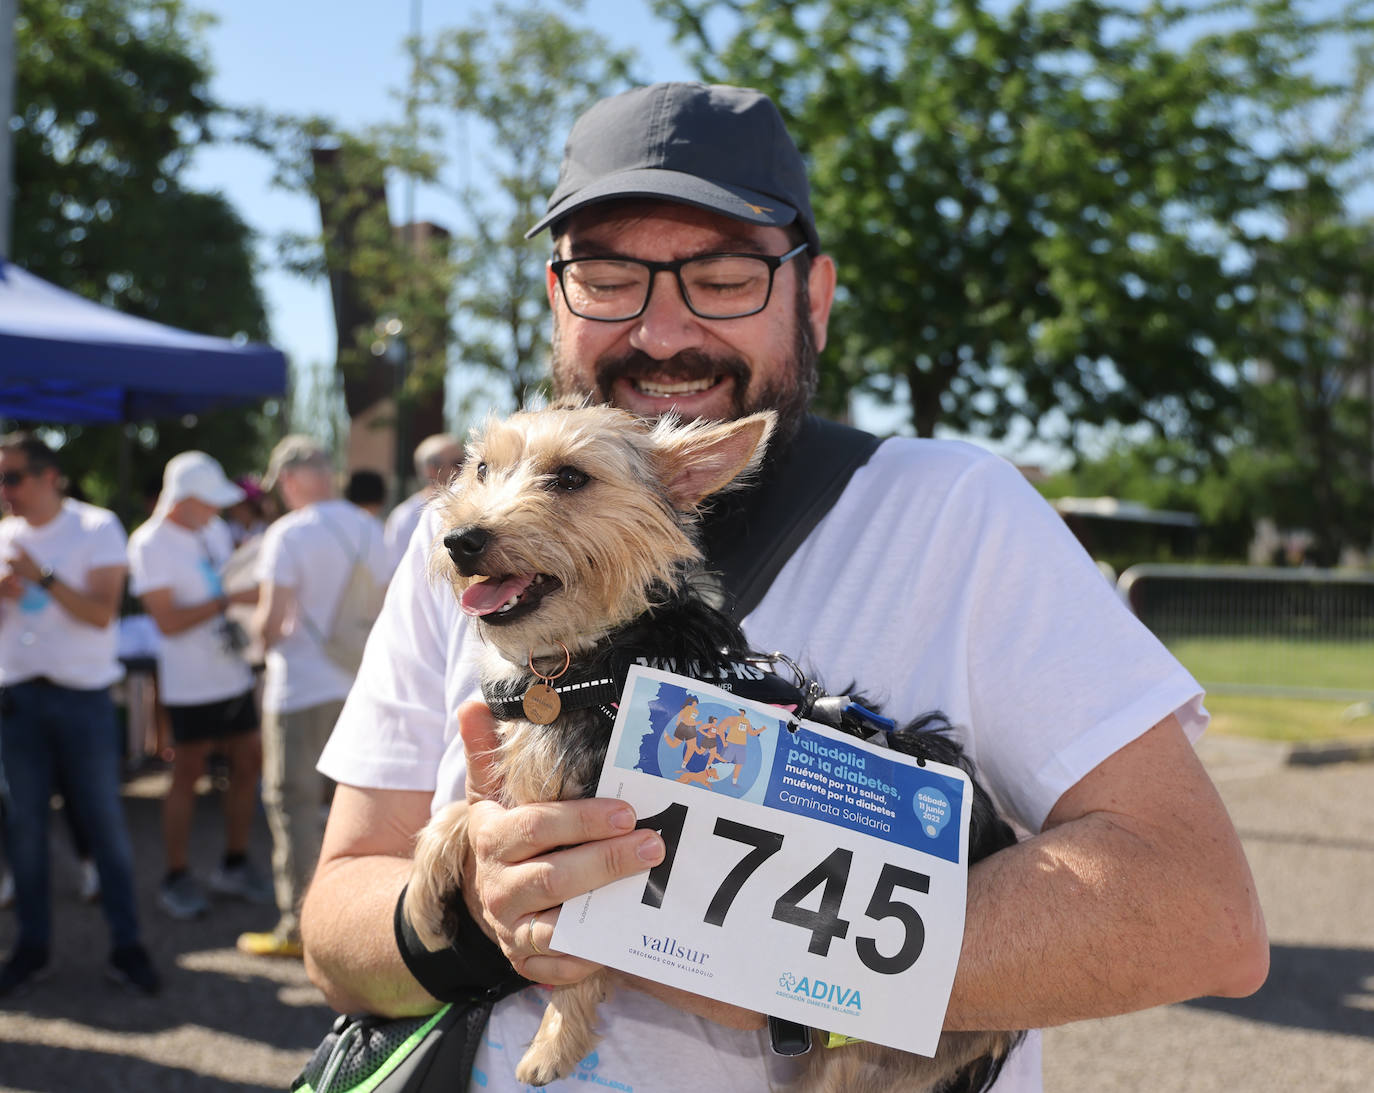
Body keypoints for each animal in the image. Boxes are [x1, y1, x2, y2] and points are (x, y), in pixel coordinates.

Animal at [401, 404, 1016, 1093]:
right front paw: (424, 905)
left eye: (569, 478)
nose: (460, 540)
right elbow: (456, 815)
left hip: (854, 1061)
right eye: (481, 470)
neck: (596, 660)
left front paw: (555, 1040)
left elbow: (576, 952)